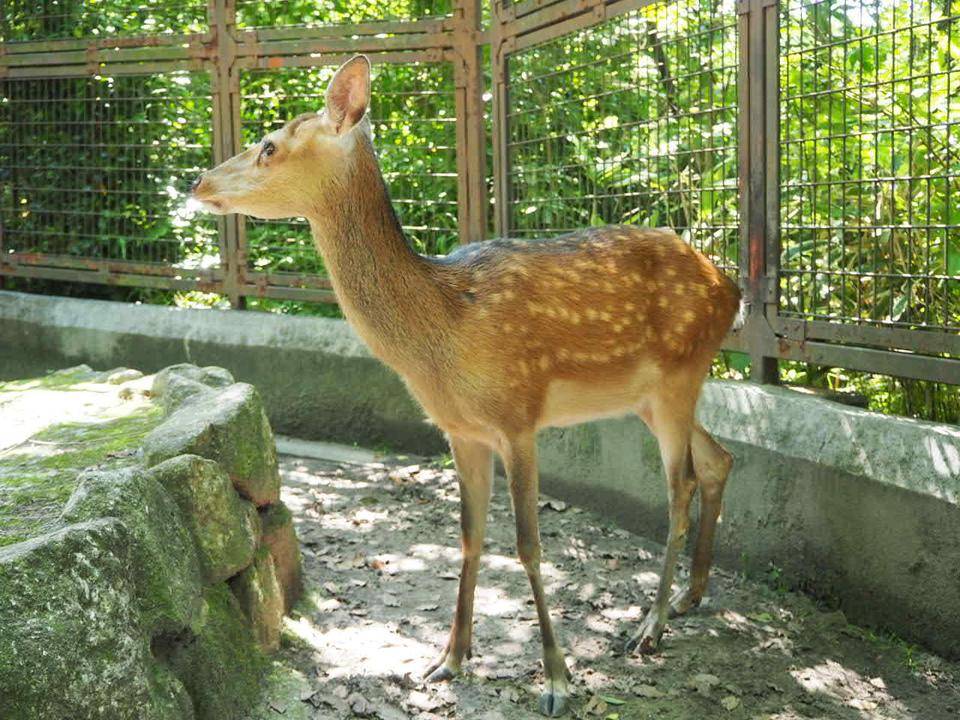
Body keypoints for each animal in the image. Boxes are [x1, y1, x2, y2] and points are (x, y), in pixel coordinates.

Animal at [191, 55, 739, 717]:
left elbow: (528, 545)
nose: (198, 181)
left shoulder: (518, 415)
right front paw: (448, 659)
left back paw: (650, 626)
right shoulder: (461, 430)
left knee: (681, 486)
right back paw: (689, 597)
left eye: (270, 145)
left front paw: (556, 681)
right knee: (718, 459)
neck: (443, 337)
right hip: (653, 395)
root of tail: (732, 288)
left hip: (680, 374)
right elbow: (470, 536)